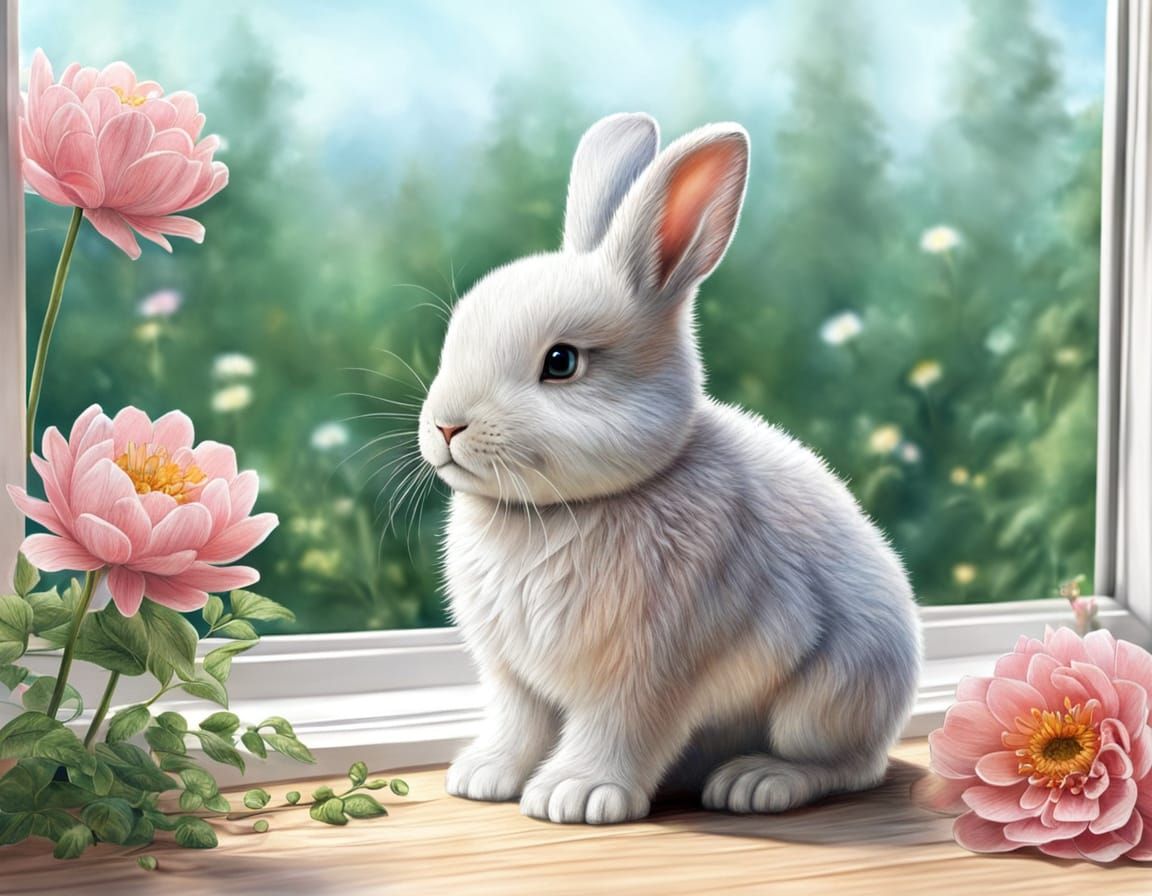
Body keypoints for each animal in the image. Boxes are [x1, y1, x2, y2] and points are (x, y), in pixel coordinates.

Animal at [416, 112, 922, 825]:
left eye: (561, 362)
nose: (445, 426)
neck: (560, 510)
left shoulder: (651, 670)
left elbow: (618, 727)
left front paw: (574, 797)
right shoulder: (514, 676)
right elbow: (519, 724)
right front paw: (482, 777)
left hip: (827, 697)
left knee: (848, 766)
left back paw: (757, 782)